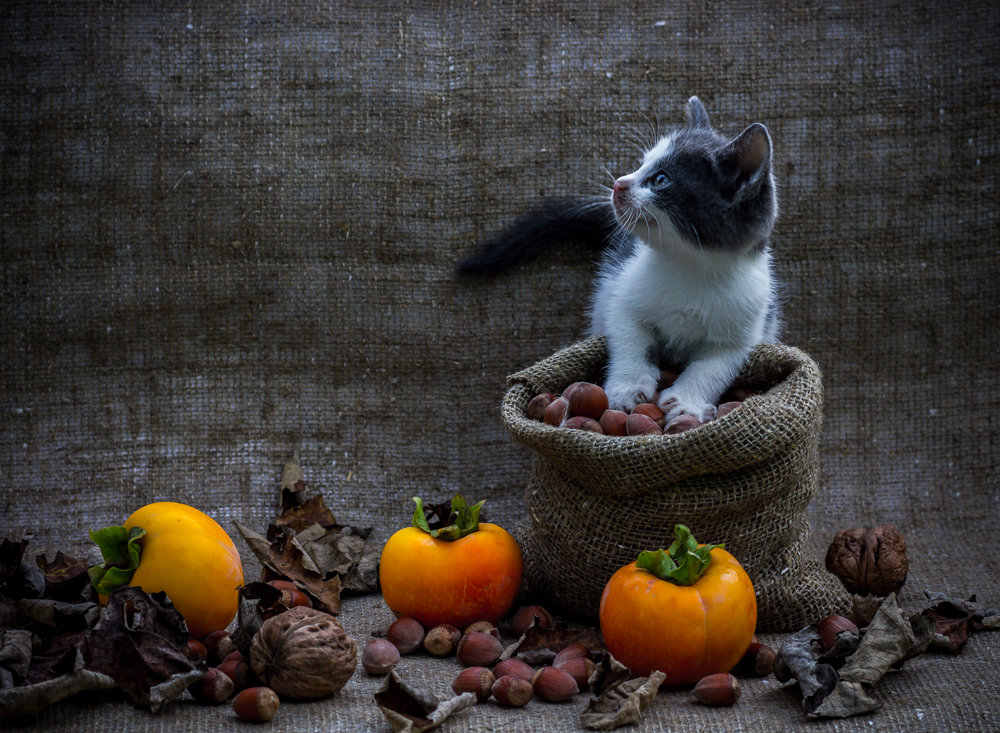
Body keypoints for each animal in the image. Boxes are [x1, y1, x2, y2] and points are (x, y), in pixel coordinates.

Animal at [460, 96, 780, 424]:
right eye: (642, 163)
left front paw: (686, 403)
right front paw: (628, 386)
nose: (618, 184)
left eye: (661, 179)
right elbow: (631, 340)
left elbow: (713, 366)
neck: (690, 266)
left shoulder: (742, 331)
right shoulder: (621, 292)